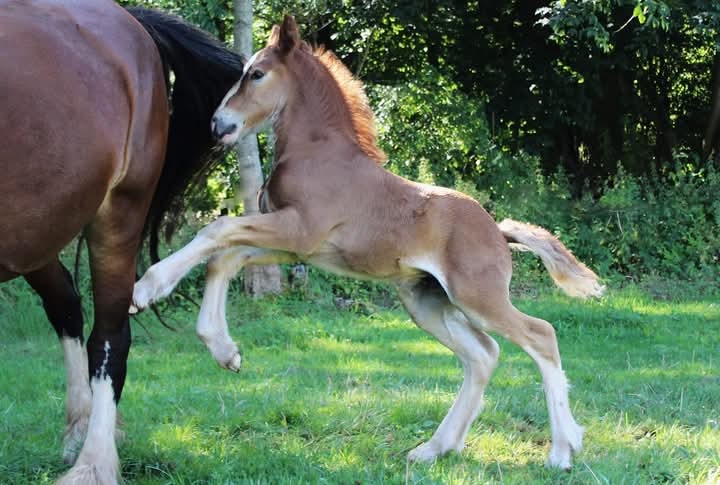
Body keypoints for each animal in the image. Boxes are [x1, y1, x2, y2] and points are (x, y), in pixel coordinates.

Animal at [0, 2, 244, 482]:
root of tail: (129, 20)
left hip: (118, 214)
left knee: (110, 339)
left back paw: (93, 461)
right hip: (34, 233)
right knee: (66, 303)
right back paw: (79, 427)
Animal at [132, 15, 605, 470]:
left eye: (257, 74)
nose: (219, 124)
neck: (318, 153)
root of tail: (498, 230)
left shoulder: (298, 228)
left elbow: (216, 232)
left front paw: (146, 289)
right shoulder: (298, 244)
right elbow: (224, 258)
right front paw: (225, 351)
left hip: (477, 296)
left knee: (540, 336)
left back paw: (562, 451)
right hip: (427, 301)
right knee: (483, 355)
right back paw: (434, 448)